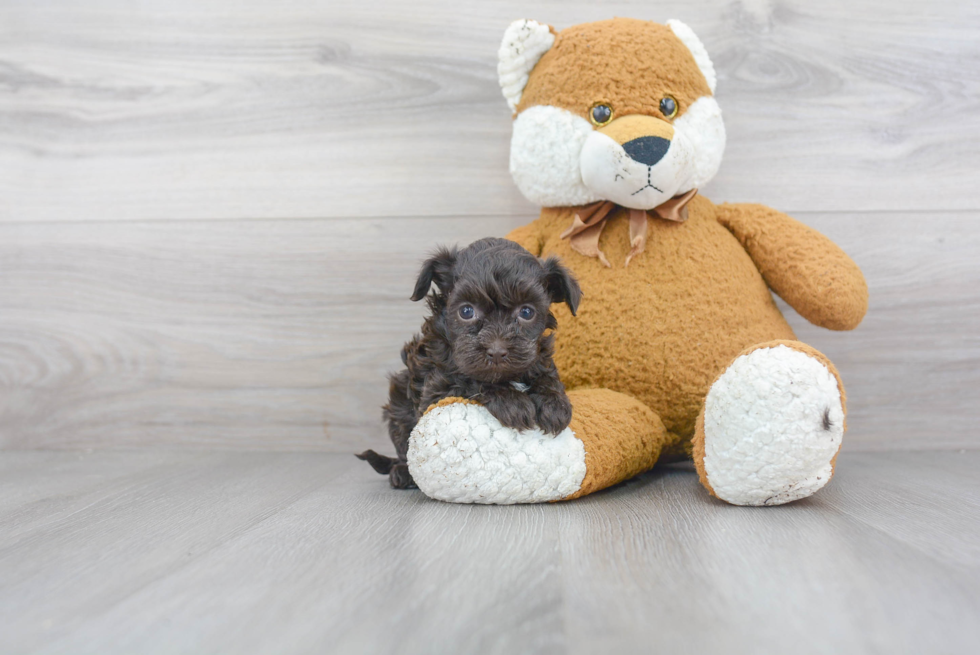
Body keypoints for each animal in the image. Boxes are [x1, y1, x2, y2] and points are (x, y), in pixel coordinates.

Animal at [356, 238, 580, 490]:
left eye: (526, 312)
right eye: (466, 311)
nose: (497, 352)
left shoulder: (538, 357)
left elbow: (545, 373)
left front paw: (553, 403)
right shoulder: (435, 390)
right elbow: (469, 380)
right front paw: (512, 401)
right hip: (399, 408)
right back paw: (402, 474)